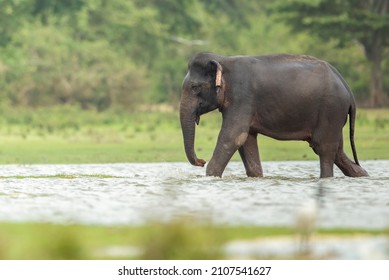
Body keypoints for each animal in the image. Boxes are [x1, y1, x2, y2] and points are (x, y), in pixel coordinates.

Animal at [179, 52, 366, 177]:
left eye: (195, 88)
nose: (201, 161)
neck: (223, 60)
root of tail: (347, 88)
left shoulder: (242, 97)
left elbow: (233, 136)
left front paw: (211, 175)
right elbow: (246, 140)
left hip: (331, 110)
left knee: (324, 148)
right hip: (334, 115)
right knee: (338, 151)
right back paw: (362, 175)